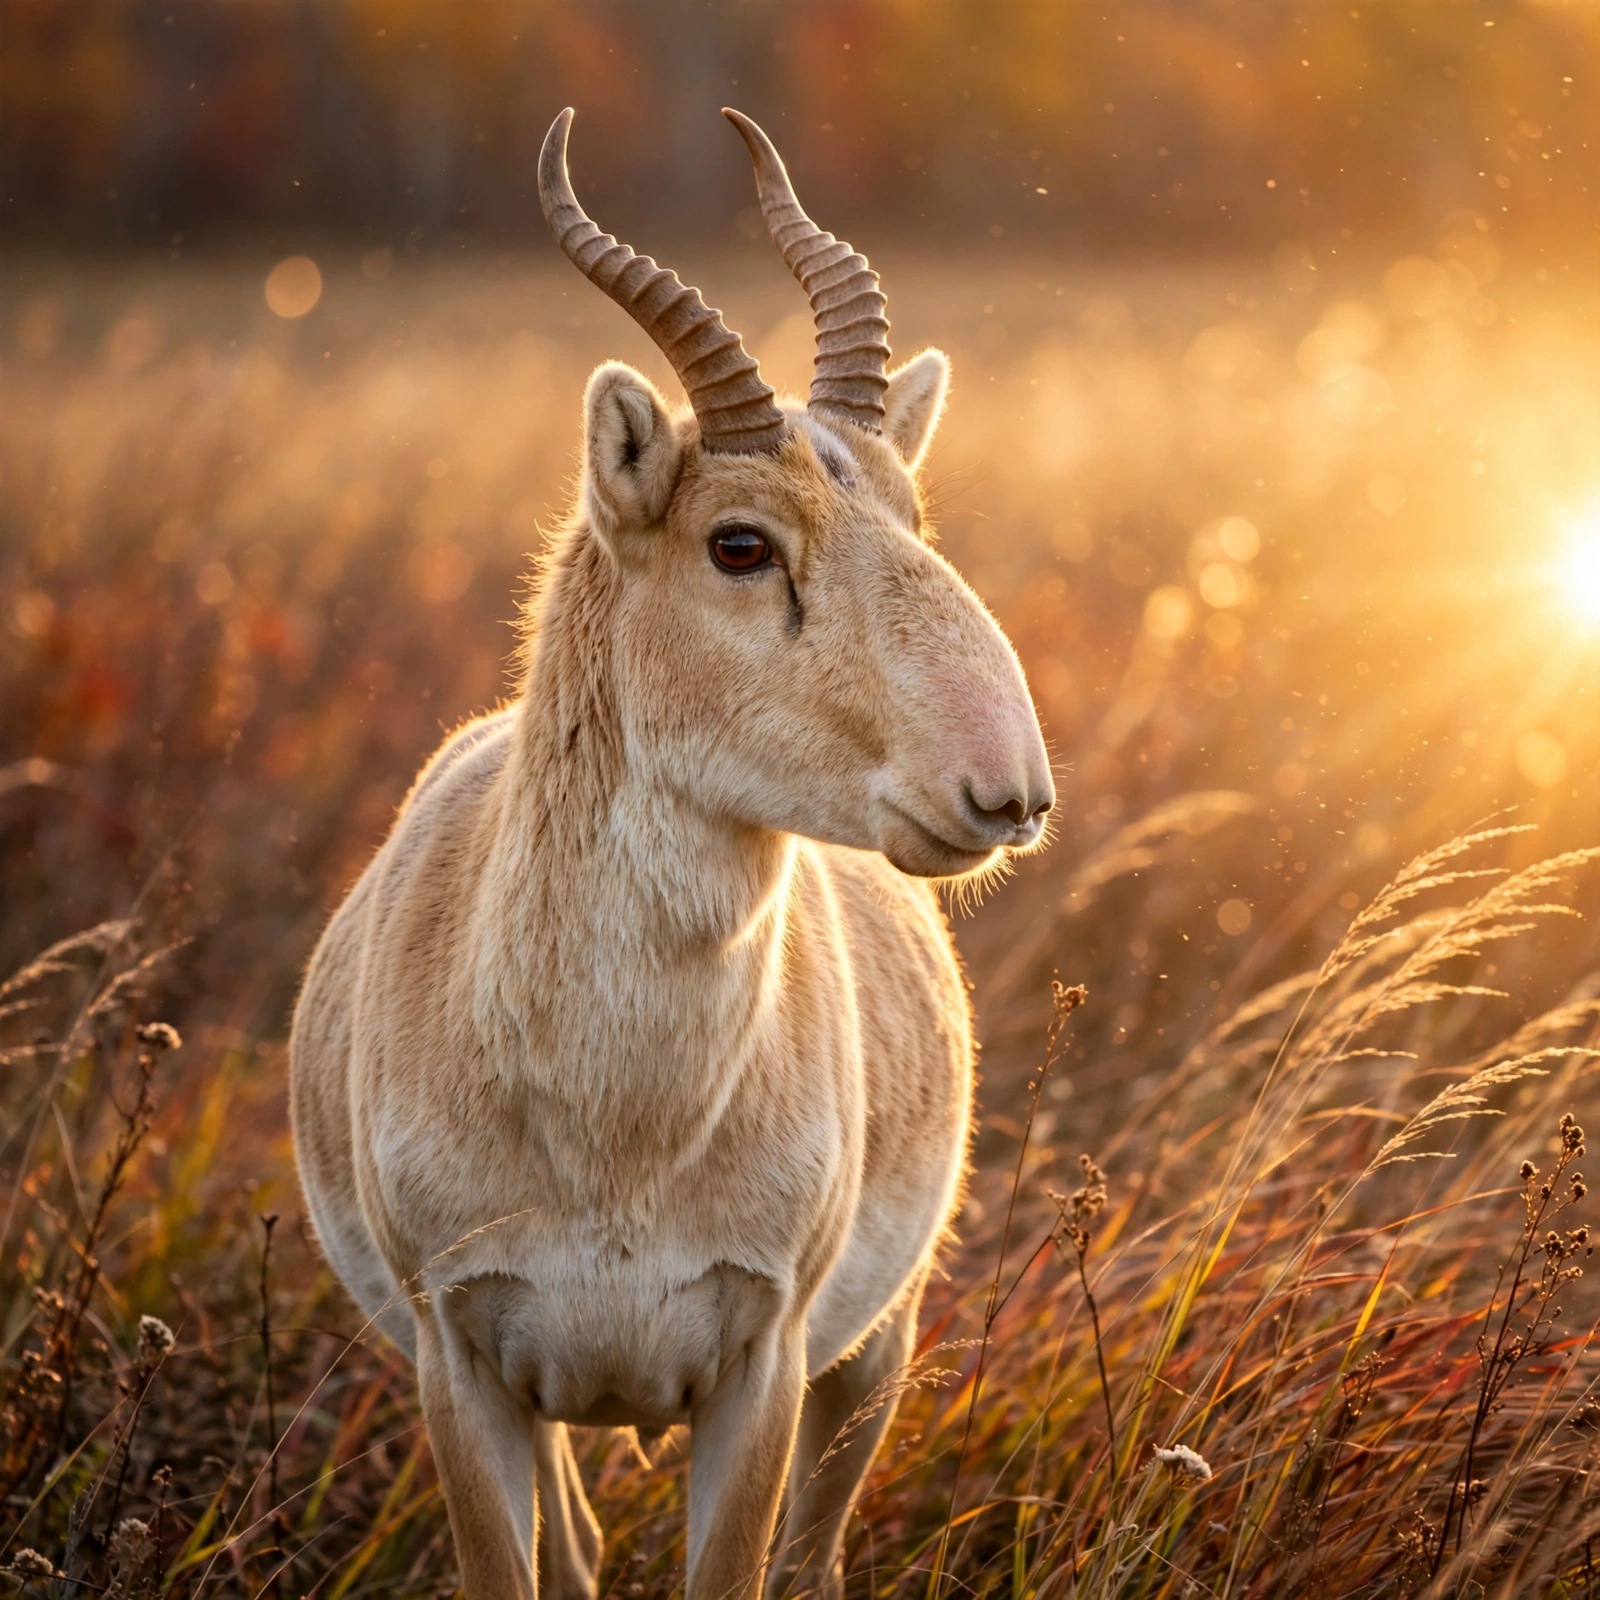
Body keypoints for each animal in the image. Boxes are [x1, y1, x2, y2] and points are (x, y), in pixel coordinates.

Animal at [289, 107, 1053, 1600]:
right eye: (738, 542)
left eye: (913, 518)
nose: (1008, 790)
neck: (615, 1129)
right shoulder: (462, 1361)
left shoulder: (762, 1366)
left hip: (872, 1354)